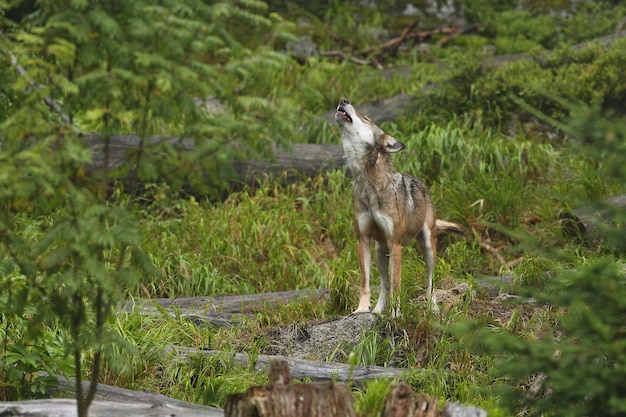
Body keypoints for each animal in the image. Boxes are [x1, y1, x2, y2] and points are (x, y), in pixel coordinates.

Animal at [336, 97, 458, 316]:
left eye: (366, 118)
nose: (343, 100)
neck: (369, 185)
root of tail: (422, 184)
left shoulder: (395, 243)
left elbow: (397, 285)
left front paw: (396, 314)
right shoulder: (363, 241)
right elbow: (366, 283)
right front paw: (362, 310)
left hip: (427, 247)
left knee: (430, 282)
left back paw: (433, 307)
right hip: (380, 252)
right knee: (384, 284)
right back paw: (377, 311)